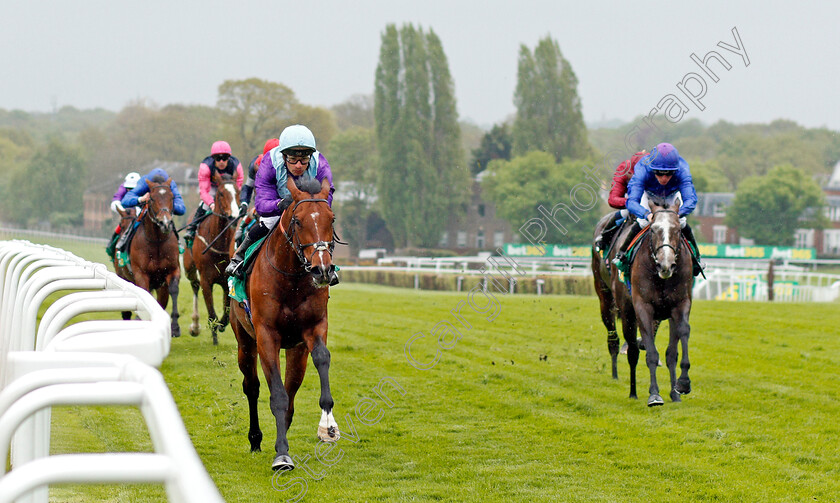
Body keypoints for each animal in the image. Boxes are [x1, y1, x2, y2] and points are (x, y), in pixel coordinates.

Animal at [114, 177, 181, 338]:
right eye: (151, 199)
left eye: (172, 197)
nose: (165, 223)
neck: (156, 241)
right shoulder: (141, 274)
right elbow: (143, 293)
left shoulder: (172, 270)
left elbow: (174, 290)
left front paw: (175, 327)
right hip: (123, 276)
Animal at [182, 171, 238, 344]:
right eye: (221, 193)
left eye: (238, 191)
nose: (234, 217)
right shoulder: (206, 281)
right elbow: (211, 313)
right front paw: (214, 337)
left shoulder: (226, 280)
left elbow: (227, 310)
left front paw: (221, 325)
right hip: (189, 268)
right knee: (194, 286)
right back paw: (195, 326)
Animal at [230, 176, 342, 472]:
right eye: (298, 221)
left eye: (331, 218)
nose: (322, 269)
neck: (291, 279)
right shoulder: (266, 335)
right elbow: (276, 396)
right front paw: (282, 455)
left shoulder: (314, 327)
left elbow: (322, 359)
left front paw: (328, 426)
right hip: (244, 341)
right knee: (252, 386)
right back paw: (256, 439)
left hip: (296, 350)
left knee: (291, 390)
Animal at [588, 199, 692, 408]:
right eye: (652, 229)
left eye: (678, 230)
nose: (665, 265)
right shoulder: (642, 306)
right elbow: (649, 353)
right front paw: (654, 395)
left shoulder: (680, 304)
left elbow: (677, 343)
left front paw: (681, 386)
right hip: (608, 298)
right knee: (622, 344)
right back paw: (628, 387)